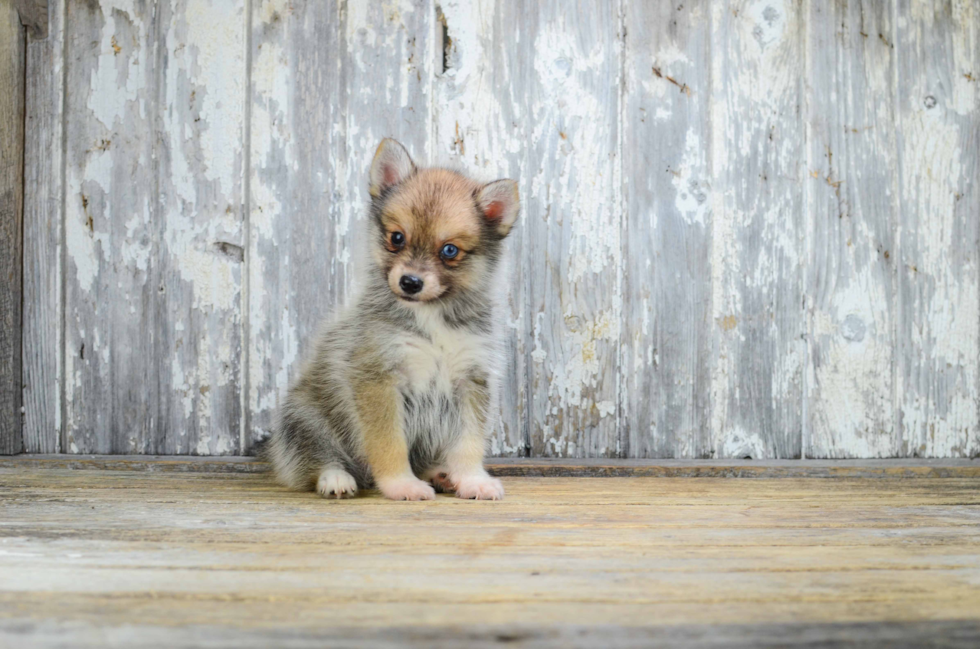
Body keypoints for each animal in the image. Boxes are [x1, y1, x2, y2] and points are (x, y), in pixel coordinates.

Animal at [264, 137, 516, 502]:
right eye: (397, 238)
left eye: (449, 250)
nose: (410, 282)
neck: (431, 315)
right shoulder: (379, 379)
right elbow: (388, 444)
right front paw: (401, 485)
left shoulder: (471, 380)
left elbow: (468, 443)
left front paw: (472, 480)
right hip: (304, 418)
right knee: (314, 459)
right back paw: (335, 479)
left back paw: (441, 474)